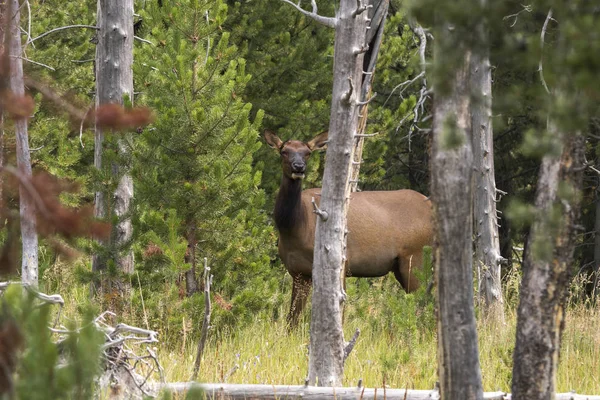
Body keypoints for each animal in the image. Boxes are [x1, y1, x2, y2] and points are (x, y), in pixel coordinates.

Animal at [264, 130, 434, 326]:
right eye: (284, 151)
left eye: (308, 153)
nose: (298, 167)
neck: (296, 228)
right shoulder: (298, 272)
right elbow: (292, 319)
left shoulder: (341, 264)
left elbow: (340, 314)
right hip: (402, 266)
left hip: (415, 257)